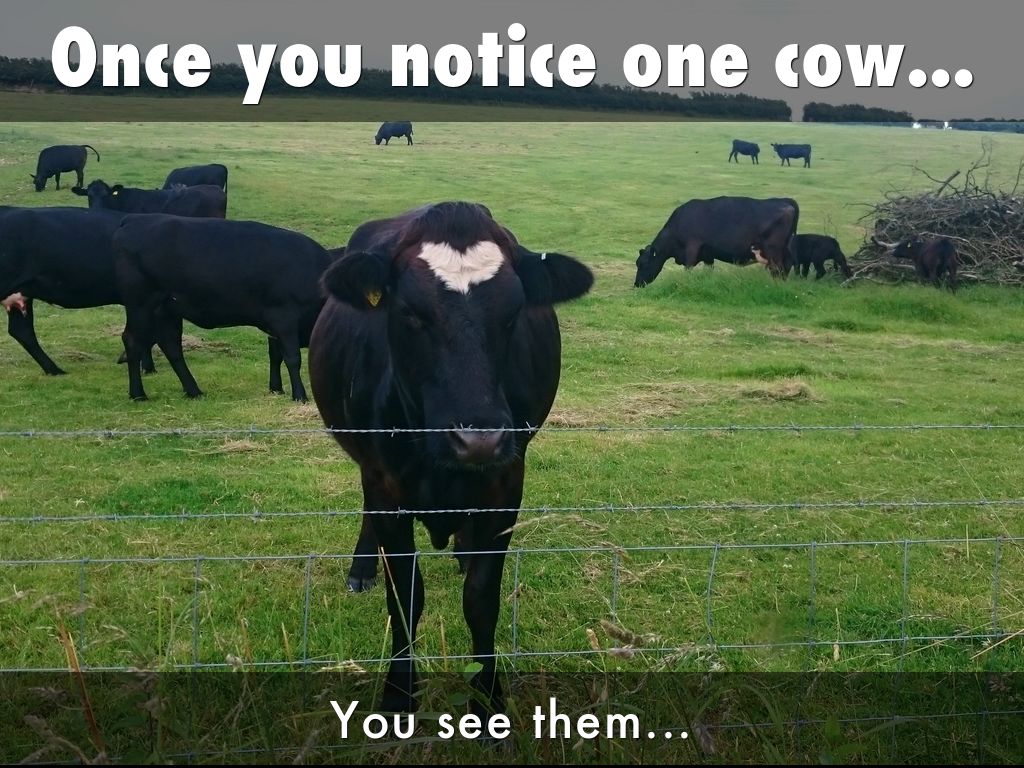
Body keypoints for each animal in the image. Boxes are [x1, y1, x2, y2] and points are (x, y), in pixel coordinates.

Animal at [113, 215, 340, 402]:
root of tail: (134, 220)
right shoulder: (284, 318)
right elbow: (292, 358)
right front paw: (300, 395)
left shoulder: (275, 326)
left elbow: (276, 355)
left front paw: (276, 389)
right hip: (141, 303)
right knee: (133, 341)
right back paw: (138, 394)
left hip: (167, 310)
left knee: (171, 346)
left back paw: (194, 391)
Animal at [307, 201, 593, 722]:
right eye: (408, 312)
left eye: (514, 312)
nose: (478, 439)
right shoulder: (386, 487)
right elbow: (405, 596)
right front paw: (399, 696)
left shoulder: (506, 486)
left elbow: (481, 600)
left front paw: (489, 697)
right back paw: (362, 567)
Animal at [635, 196, 800, 285]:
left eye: (643, 264)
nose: (637, 284)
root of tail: (785, 201)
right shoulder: (708, 254)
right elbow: (708, 271)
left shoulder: (692, 247)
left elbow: (688, 268)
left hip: (773, 251)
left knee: (778, 269)